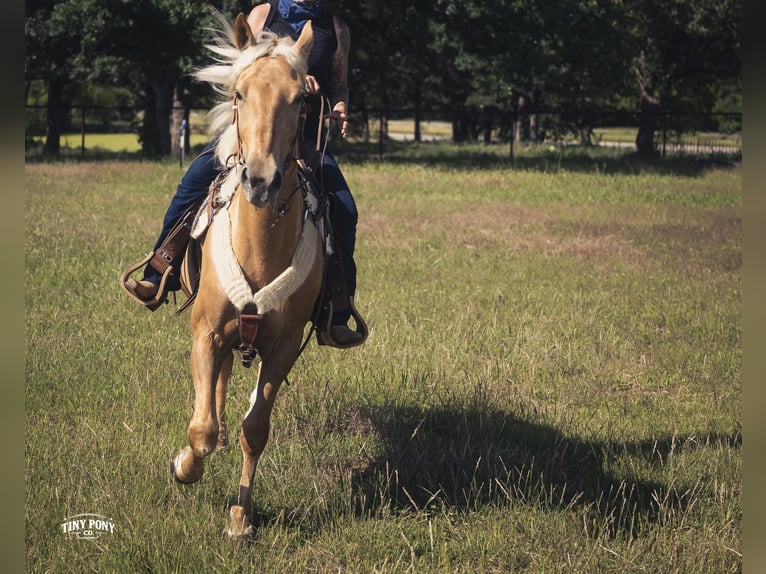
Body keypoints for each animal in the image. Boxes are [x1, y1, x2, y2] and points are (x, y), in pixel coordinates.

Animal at [169, 14, 324, 540]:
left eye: (301, 100)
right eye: (239, 93)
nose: (260, 180)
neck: (259, 249)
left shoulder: (284, 348)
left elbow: (253, 429)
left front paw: (241, 515)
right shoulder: (205, 333)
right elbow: (201, 430)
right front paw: (184, 466)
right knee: (213, 397)